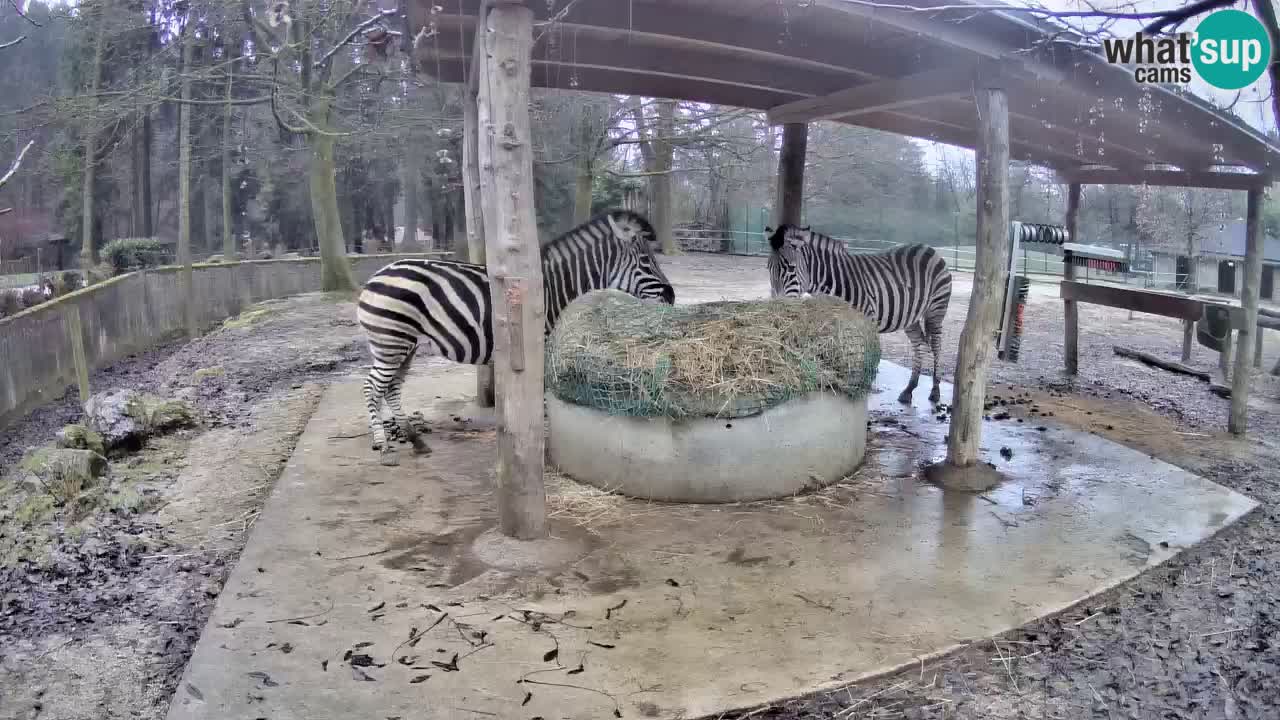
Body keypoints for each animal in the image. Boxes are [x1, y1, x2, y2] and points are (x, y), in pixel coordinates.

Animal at [350, 207, 670, 466]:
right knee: (371, 386)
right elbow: (541, 399)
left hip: (406, 344)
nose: (671, 297)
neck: (554, 288)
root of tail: (375, 276)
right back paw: (383, 447)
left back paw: (415, 440)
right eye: (645, 260)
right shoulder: (539, 345)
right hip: (391, 340)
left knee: (391, 388)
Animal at [757, 221, 952, 404]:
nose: (776, 306)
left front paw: (860, 387)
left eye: (791, 268)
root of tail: (927, 247)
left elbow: (863, 355)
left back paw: (935, 391)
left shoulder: (866, 319)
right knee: (919, 344)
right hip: (910, 317)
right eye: (768, 268)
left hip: (936, 309)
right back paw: (909, 389)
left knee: (936, 345)